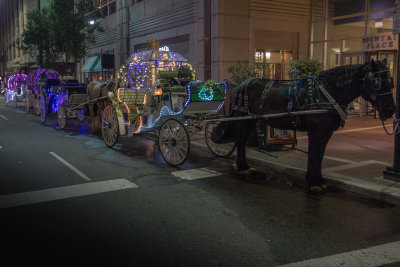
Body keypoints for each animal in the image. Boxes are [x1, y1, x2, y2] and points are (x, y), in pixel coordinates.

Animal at [216, 59, 394, 193]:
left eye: (391, 82)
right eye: (378, 82)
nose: (391, 110)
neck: (327, 92)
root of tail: (241, 84)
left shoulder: (326, 132)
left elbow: (319, 155)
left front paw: (318, 180)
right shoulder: (316, 131)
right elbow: (314, 154)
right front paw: (313, 182)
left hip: (251, 120)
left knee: (241, 141)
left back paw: (244, 166)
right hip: (243, 119)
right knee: (240, 141)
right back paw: (242, 167)